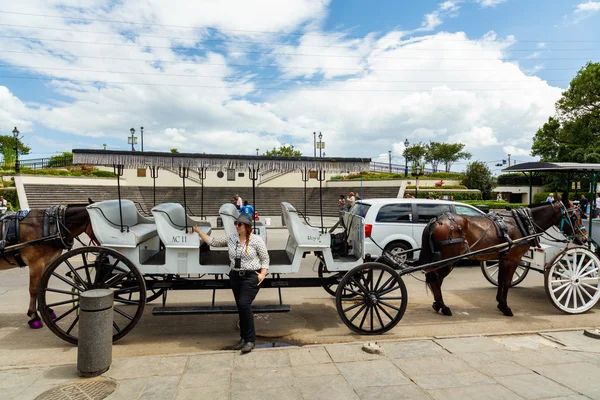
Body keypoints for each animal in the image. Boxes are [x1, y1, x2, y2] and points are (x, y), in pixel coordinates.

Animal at [418, 202, 584, 318]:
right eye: (574, 217)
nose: (584, 238)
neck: (521, 223)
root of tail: (435, 220)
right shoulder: (513, 259)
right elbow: (507, 282)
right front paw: (505, 307)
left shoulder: (503, 259)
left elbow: (501, 280)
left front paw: (500, 303)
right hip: (449, 260)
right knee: (435, 279)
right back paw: (442, 306)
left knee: (434, 278)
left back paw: (438, 304)